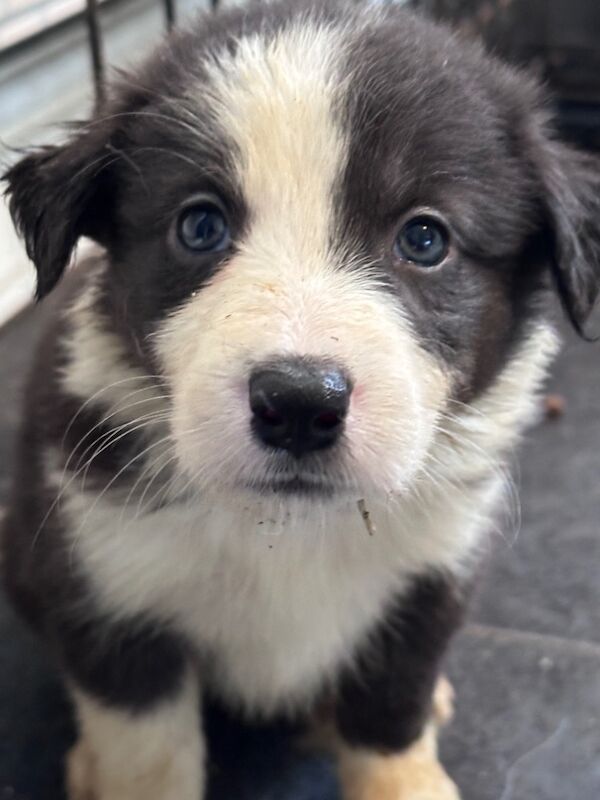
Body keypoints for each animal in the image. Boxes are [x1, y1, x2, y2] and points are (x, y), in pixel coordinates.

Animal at [1, 1, 600, 800]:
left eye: (425, 237)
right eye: (199, 226)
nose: (296, 404)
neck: (286, 528)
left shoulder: (431, 578)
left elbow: (390, 711)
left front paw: (406, 779)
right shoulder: (111, 598)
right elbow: (148, 753)